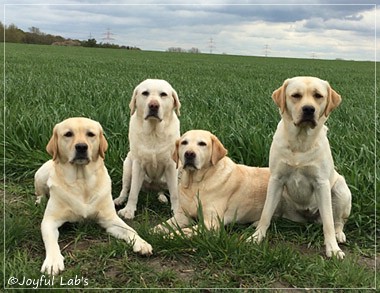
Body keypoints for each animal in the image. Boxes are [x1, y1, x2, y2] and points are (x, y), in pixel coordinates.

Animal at [34, 116, 153, 274]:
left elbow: (130, 230)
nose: (81, 147)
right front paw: (53, 261)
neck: (82, 182)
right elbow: (51, 241)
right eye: (68, 134)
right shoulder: (49, 221)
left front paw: (142, 243)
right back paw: (39, 201)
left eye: (90, 134)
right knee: (40, 193)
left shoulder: (110, 219)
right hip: (40, 175)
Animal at [114, 78, 181, 218]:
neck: (154, 132)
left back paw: (162, 197)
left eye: (163, 94)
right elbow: (133, 192)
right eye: (145, 93)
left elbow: (175, 193)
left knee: (163, 190)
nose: (153, 105)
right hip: (127, 165)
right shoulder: (138, 164)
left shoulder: (172, 166)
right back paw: (119, 200)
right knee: (125, 188)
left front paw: (177, 211)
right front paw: (129, 210)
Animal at [251, 76, 352, 258]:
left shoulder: (321, 183)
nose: (309, 109)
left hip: (340, 189)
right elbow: (265, 213)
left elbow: (328, 222)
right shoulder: (276, 180)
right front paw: (257, 237)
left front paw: (333, 249)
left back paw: (339, 234)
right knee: (275, 214)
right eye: (296, 95)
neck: (300, 142)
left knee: (338, 221)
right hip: (281, 196)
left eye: (318, 96)